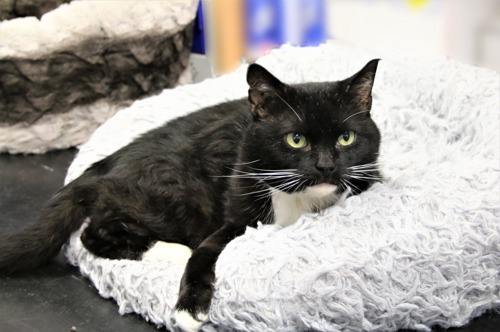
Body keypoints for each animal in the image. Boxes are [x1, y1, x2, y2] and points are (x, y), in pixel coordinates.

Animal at [0, 59, 380, 330]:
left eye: (346, 137)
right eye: (295, 139)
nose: (326, 166)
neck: (300, 200)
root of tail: (106, 162)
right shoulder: (236, 214)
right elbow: (205, 253)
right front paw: (189, 308)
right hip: (176, 199)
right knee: (92, 234)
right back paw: (173, 251)